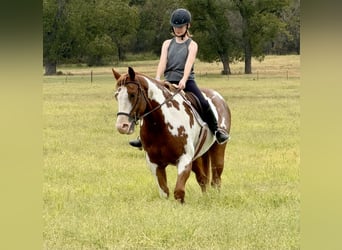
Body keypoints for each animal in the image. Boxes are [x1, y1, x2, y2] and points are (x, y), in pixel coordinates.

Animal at [113, 67, 231, 203]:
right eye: (116, 96)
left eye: (132, 94)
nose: (122, 126)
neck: (160, 125)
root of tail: (219, 97)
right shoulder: (155, 164)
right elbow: (165, 192)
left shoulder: (184, 160)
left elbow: (179, 192)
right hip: (197, 157)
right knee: (203, 179)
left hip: (218, 149)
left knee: (216, 179)